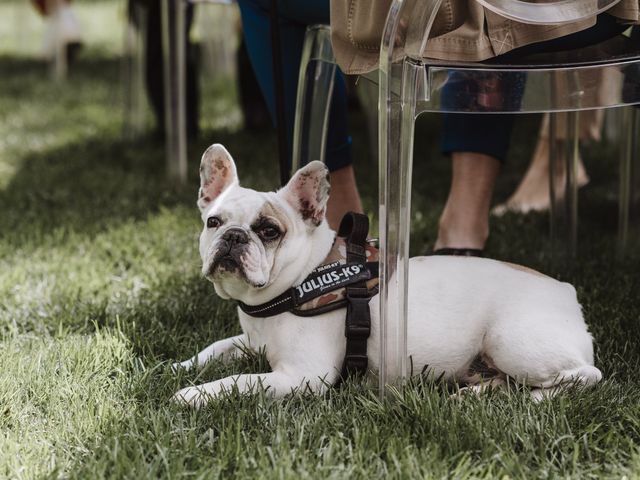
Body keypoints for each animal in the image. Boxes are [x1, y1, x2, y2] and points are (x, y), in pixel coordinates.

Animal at [171, 144, 600, 406]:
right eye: (213, 222)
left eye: (269, 231)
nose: (233, 237)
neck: (294, 284)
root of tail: (566, 291)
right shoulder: (251, 342)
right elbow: (217, 348)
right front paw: (181, 367)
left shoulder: (302, 375)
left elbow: (240, 381)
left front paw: (192, 394)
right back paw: (479, 392)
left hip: (511, 341)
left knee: (584, 375)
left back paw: (535, 399)